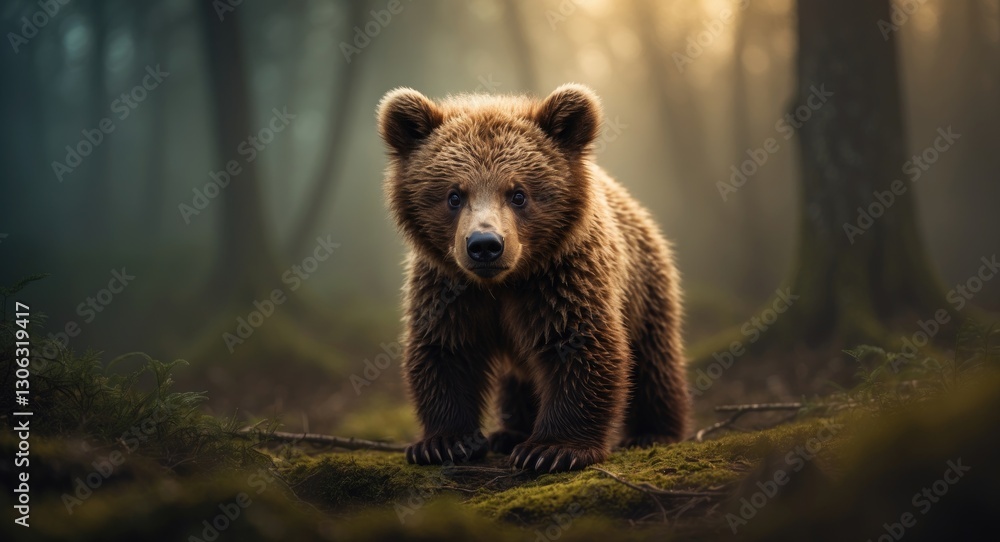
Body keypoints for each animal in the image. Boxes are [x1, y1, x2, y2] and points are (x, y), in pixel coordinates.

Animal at [377, 83, 690, 472]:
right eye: (453, 195)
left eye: (518, 194)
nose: (485, 245)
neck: (503, 283)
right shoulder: (449, 288)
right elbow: (445, 350)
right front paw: (443, 442)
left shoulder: (562, 279)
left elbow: (580, 348)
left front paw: (552, 449)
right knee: (519, 377)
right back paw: (510, 432)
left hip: (644, 286)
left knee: (653, 359)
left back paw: (653, 431)